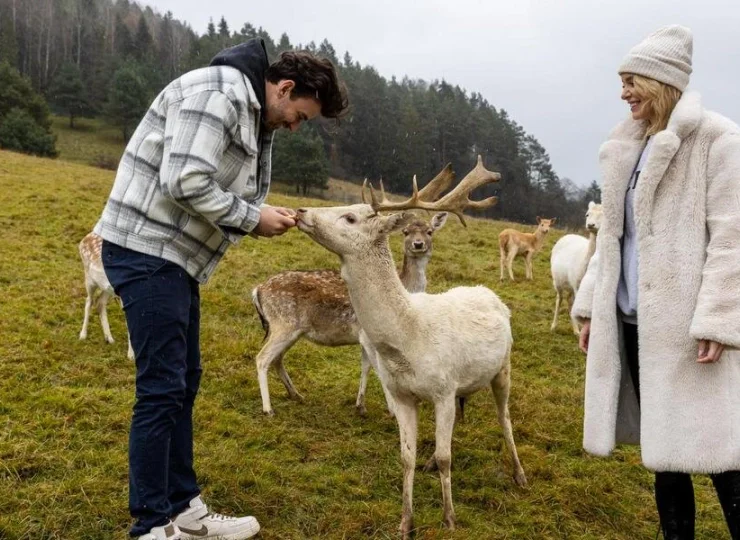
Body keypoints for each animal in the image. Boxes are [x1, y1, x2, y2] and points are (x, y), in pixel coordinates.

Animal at [79, 231, 134, 360]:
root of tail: (85, 238)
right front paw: (131, 356)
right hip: (89, 278)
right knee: (89, 301)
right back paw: (83, 335)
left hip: (107, 287)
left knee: (100, 302)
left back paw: (109, 338)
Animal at [294, 155, 528, 536]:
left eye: (350, 217)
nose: (300, 211)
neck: (406, 341)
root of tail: (488, 292)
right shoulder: (402, 394)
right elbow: (406, 457)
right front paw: (406, 523)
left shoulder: (444, 390)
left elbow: (448, 457)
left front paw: (450, 518)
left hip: (504, 367)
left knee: (504, 418)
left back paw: (520, 474)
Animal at [548, 202, 604, 334]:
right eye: (587, 214)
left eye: (603, 215)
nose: (591, 225)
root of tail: (568, 235)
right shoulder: (578, 285)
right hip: (558, 281)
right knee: (560, 299)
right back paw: (554, 326)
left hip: (570, 285)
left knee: (569, 301)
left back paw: (575, 330)